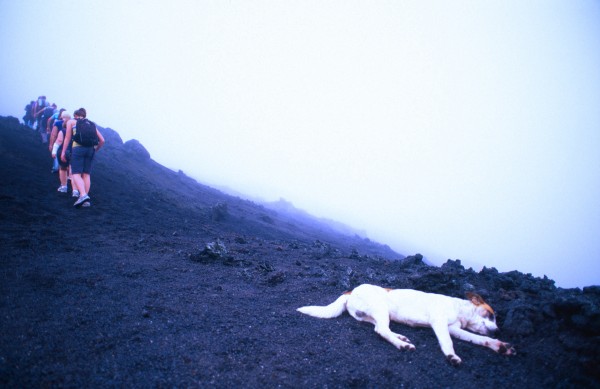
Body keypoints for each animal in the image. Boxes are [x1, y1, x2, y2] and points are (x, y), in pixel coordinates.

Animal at [298, 282, 512, 364]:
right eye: (491, 315)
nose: (498, 330)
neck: (459, 309)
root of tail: (350, 291)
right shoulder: (439, 323)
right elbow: (448, 342)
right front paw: (452, 356)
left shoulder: (456, 330)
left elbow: (478, 339)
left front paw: (500, 346)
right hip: (381, 308)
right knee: (381, 330)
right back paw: (403, 345)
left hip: (373, 315)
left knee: (381, 328)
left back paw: (401, 338)